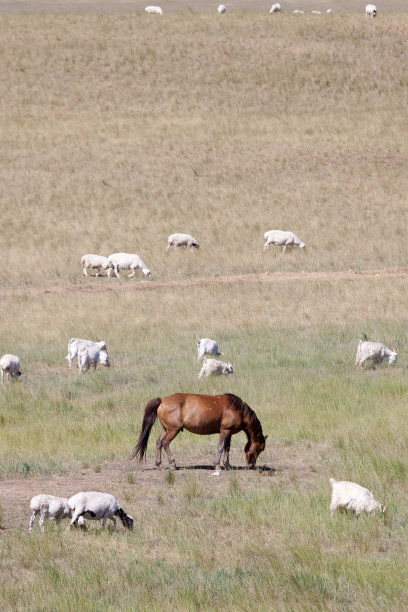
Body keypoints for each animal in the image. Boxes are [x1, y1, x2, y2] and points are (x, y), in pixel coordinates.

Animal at [129, 392, 266, 474]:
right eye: (259, 449)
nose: (252, 465)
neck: (238, 409)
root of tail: (162, 400)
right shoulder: (225, 430)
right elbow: (221, 447)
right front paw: (217, 466)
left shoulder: (229, 432)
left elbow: (227, 448)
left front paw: (227, 465)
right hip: (173, 430)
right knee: (165, 443)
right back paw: (173, 463)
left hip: (166, 429)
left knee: (159, 442)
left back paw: (158, 464)